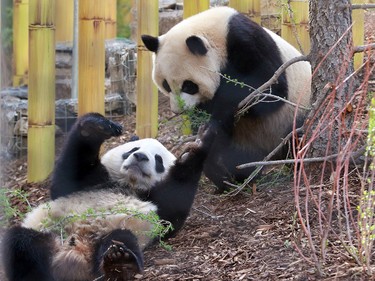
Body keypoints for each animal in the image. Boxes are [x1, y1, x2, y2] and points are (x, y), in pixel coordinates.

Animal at [1, 112, 214, 280]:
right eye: (133, 149)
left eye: (158, 160)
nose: (140, 157)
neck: (128, 184)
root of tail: (74, 253)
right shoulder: (91, 181)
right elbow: (68, 175)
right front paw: (94, 127)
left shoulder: (157, 205)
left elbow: (172, 213)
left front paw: (193, 151)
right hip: (48, 232)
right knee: (19, 242)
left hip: (120, 232)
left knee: (120, 239)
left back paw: (119, 262)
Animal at [141, 6, 312, 191]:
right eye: (166, 84)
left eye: (188, 85)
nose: (178, 110)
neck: (217, 32)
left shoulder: (246, 42)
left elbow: (271, 89)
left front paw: (217, 114)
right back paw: (231, 177)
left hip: (296, 111)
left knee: (297, 136)